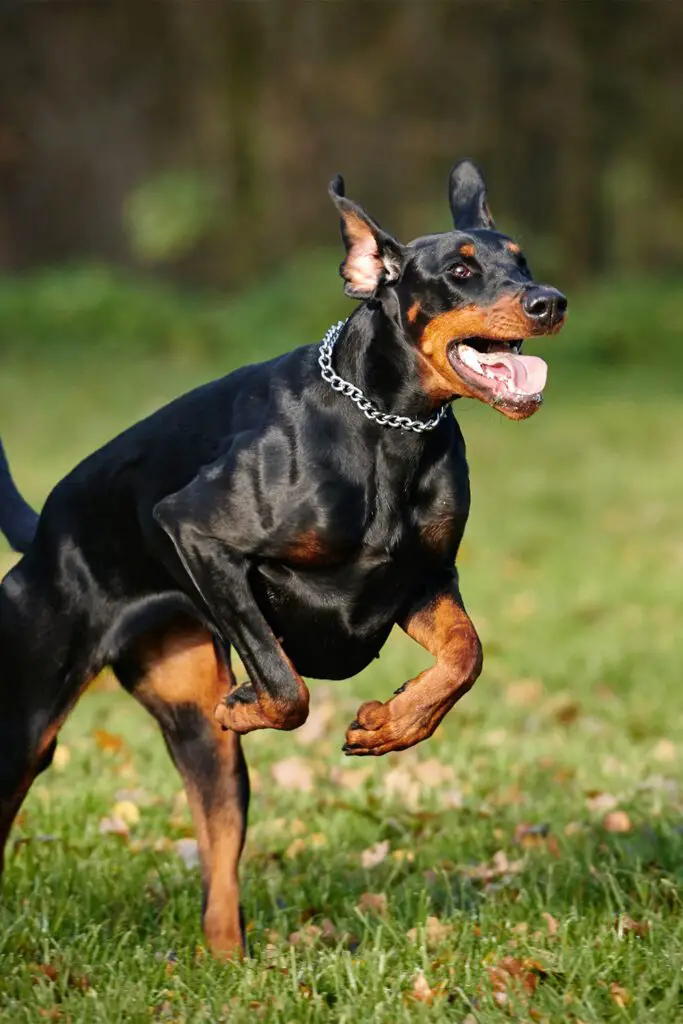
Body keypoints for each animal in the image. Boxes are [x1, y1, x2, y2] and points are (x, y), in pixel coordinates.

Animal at [0, 159, 565, 950]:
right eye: (459, 270)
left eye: (523, 261)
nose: (551, 303)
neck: (387, 429)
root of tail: (44, 531)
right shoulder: (196, 530)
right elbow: (285, 682)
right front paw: (251, 704)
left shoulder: (420, 580)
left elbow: (465, 654)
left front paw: (393, 724)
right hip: (22, 724)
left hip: (202, 746)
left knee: (218, 879)